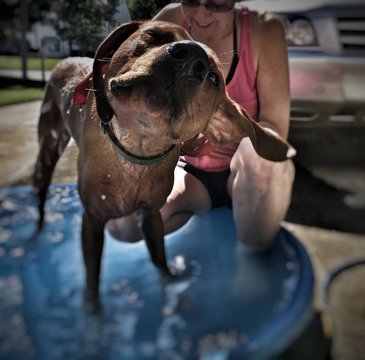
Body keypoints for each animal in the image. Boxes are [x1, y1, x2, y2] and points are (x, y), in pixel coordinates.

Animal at [32, 19, 294, 310]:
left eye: (214, 77)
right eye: (154, 35)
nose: (192, 56)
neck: (137, 148)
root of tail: (65, 60)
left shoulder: (151, 215)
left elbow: (159, 260)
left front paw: (172, 288)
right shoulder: (93, 219)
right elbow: (92, 280)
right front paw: (94, 314)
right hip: (48, 149)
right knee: (40, 191)